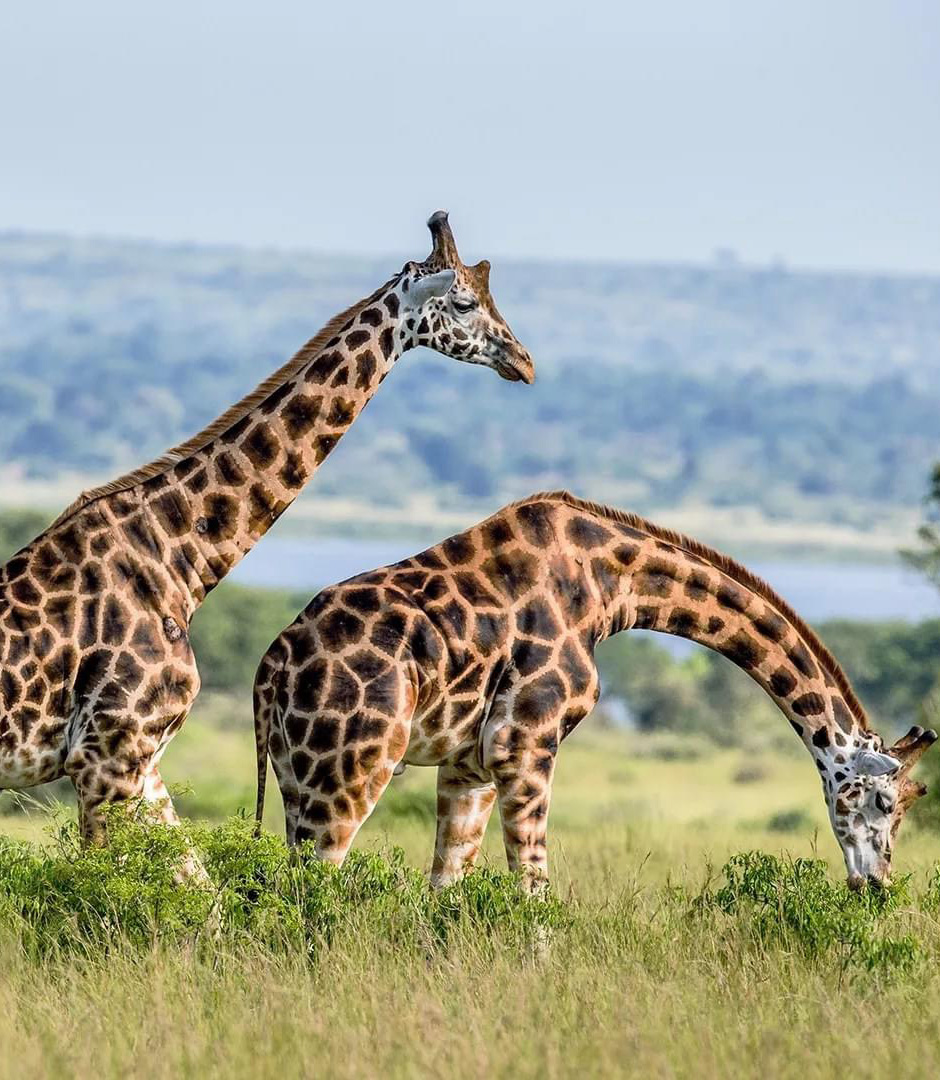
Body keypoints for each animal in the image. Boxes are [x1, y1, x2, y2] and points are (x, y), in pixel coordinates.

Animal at [0, 210, 533, 851]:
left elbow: (193, 875)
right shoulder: (107, 756)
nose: (523, 361)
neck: (177, 558)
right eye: (462, 302)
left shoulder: (139, 762)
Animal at [253, 494, 937, 889]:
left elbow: (446, 886)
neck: (611, 585)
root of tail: (273, 665)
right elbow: (533, 889)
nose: (876, 884)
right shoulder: (525, 746)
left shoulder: (469, 765)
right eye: (885, 803)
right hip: (351, 770)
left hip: (297, 775)